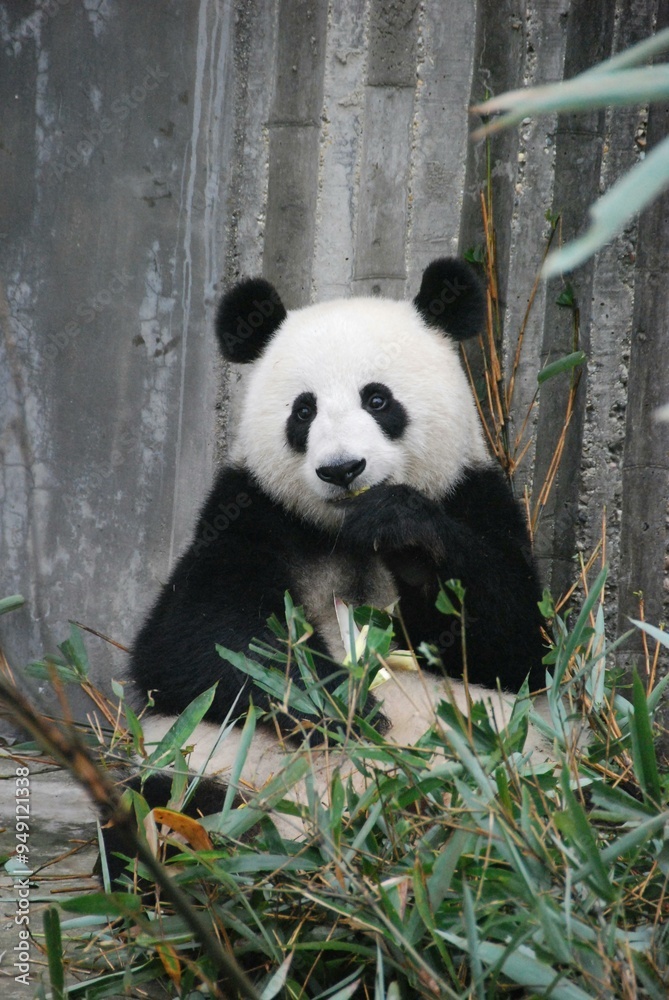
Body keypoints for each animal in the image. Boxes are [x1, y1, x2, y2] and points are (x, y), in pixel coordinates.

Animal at [126, 258, 548, 841]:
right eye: (304, 411)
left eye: (378, 399)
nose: (342, 469)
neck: (343, 530)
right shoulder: (248, 511)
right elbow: (192, 642)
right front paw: (342, 704)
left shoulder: (473, 494)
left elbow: (518, 643)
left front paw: (405, 534)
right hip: (201, 762)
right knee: (161, 804)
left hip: (515, 771)